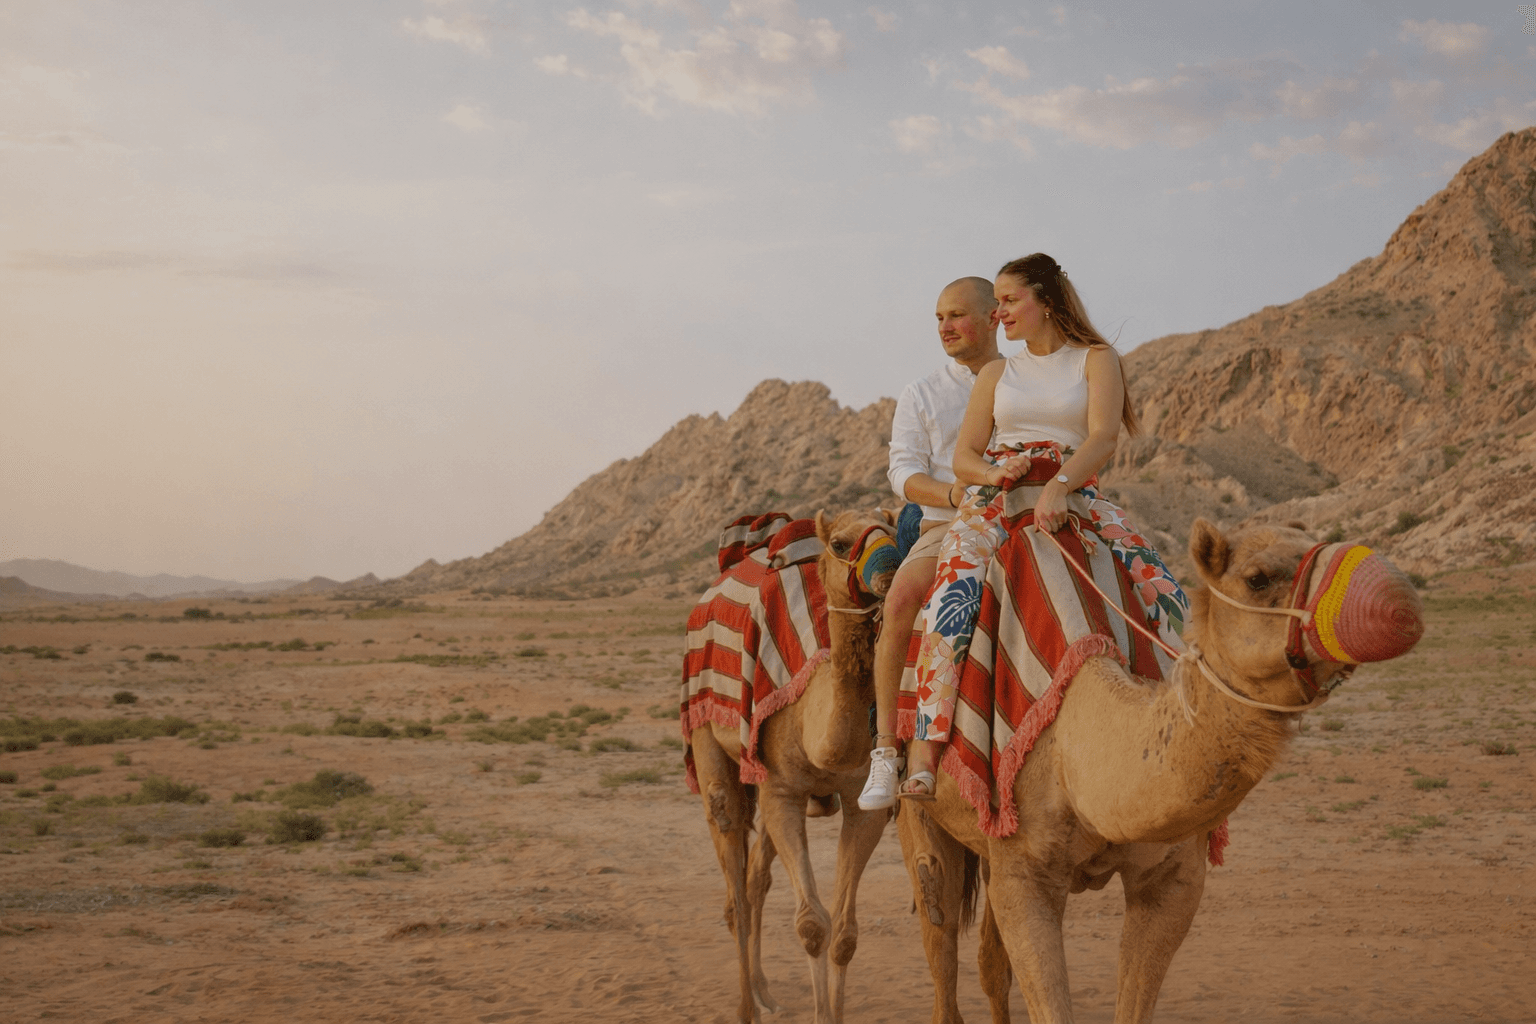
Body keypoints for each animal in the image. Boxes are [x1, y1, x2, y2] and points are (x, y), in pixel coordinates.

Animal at [689, 507, 898, 1024]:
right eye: (840, 544)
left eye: (896, 529)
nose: (890, 568)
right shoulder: (782, 790)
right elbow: (811, 926)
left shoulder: (859, 800)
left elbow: (843, 934)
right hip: (707, 732)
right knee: (734, 879)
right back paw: (747, 1006)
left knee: (755, 879)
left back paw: (766, 992)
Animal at [898, 518, 1424, 1023]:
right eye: (1257, 578)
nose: (1398, 603)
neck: (1075, 745)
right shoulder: (1024, 871)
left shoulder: (1171, 879)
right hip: (924, 807)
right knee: (938, 927)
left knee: (988, 959)